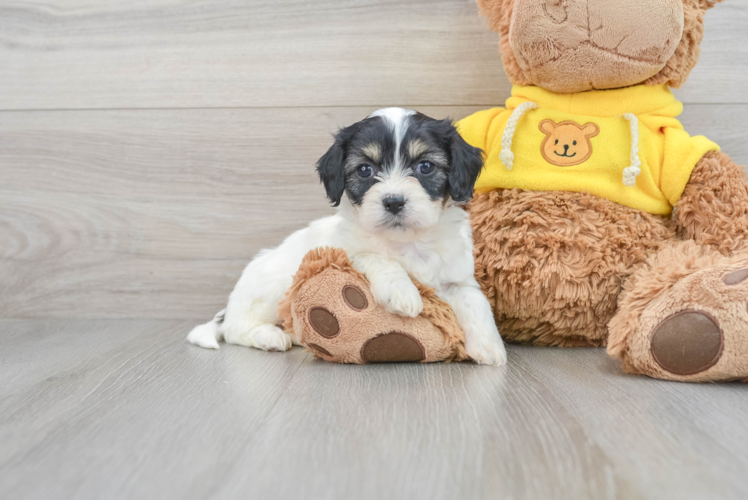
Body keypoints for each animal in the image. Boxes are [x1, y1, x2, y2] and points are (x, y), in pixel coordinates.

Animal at [187, 107, 506, 366]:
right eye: (365, 170)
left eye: (425, 166)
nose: (393, 201)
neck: (407, 242)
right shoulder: (344, 250)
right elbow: (375, 257)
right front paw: (402, 292)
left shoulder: (457, 277)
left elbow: (475, 302)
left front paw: (491, 349)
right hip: (273, 288)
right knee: (234, 329)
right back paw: (269, 336)